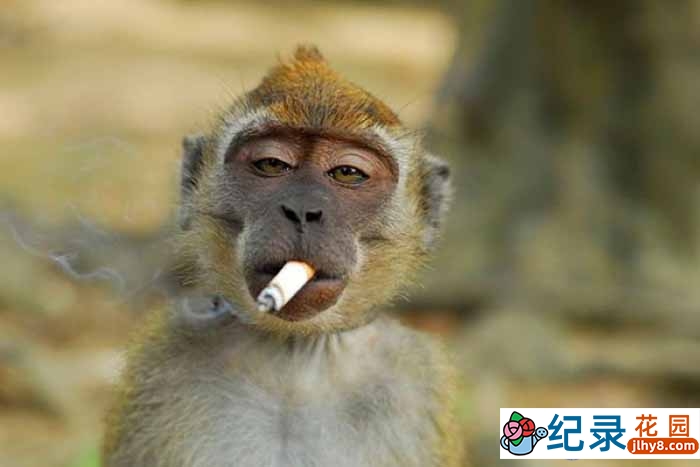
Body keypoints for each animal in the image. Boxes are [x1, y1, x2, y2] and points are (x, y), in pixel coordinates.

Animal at [102, 45, 463, 467]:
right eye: (272, 165)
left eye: (347, 173)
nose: (303, 209)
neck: (295, 357)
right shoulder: (161, 368)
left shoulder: (416, 386)